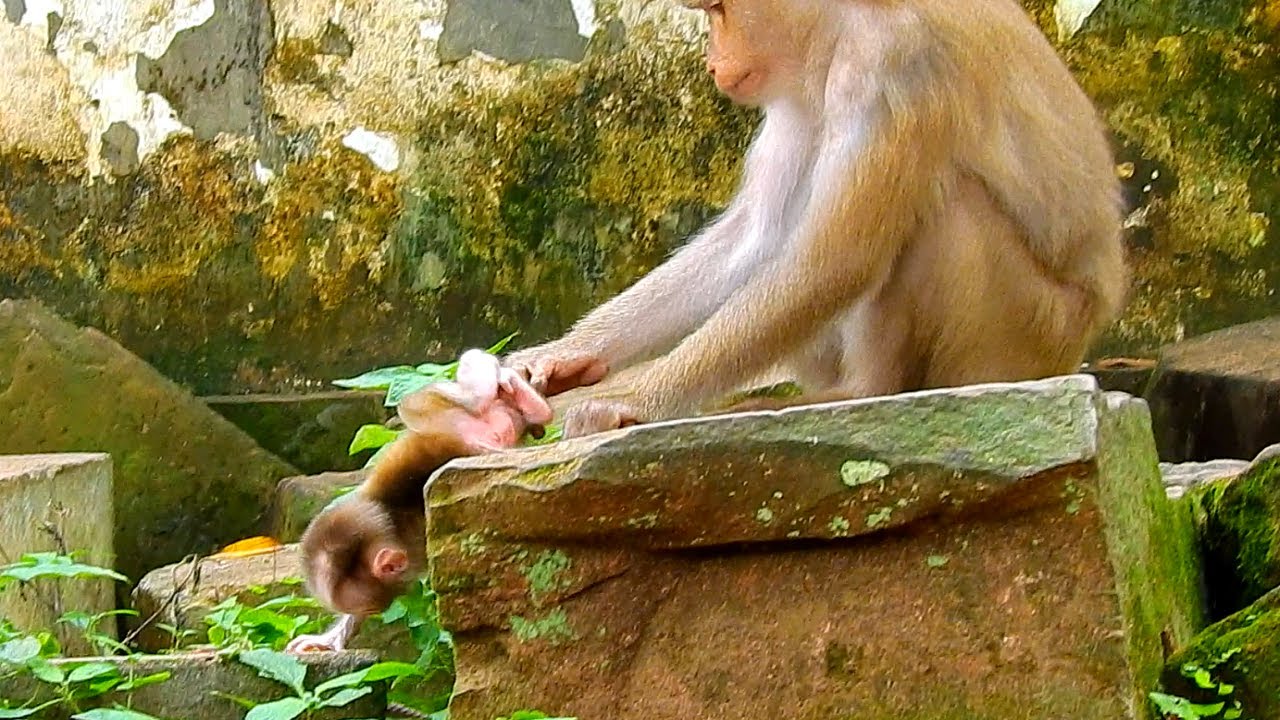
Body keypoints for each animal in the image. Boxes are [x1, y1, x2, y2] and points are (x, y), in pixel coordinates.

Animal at [285, 349, 553, 653]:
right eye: (368, 610)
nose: (398, 565)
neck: (393, 526)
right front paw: (328, 640)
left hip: (437, 411)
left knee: (463, 399)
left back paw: (505, 381)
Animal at [505, 0, 1128, 438]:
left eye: (717, 10)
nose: (710, 60)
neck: (843, 22)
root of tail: (1075, 347)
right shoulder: (798, 89)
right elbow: (758, 239)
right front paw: (564, 354)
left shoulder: (893, 65)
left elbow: (835, 261)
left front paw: (630, 399)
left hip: (1025, 331)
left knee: (946, 211)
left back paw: (861, 391)